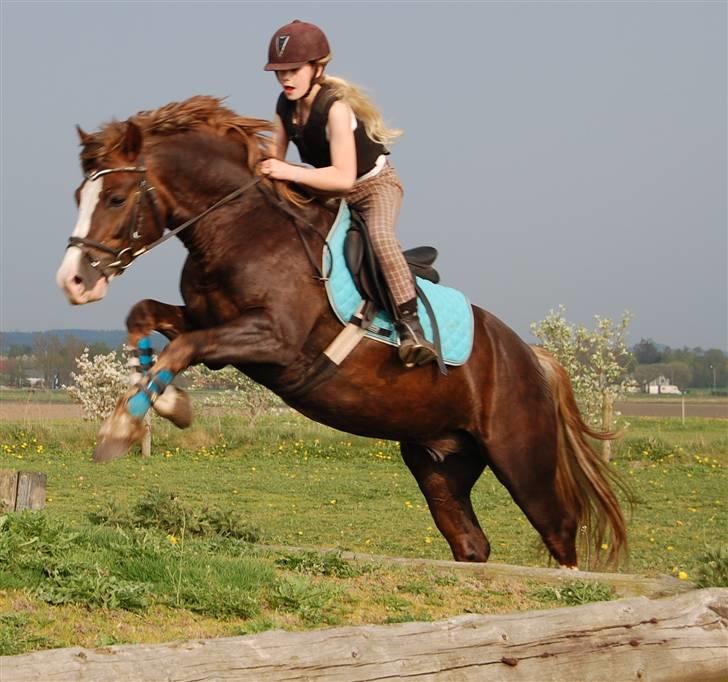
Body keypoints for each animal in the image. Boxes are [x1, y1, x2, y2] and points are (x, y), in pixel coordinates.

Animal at [57, 94, 624, 564]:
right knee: (470, 543)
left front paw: (125, 427)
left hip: (521, 459)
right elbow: (146, 319)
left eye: (115, 198)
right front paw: (160, 405)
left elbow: (185, 347)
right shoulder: (208, 320)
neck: (236, 229)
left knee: (559, 531)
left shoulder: (272, 340)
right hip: (439, 462)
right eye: (78, 195)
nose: (73, 281)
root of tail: (532, 357)